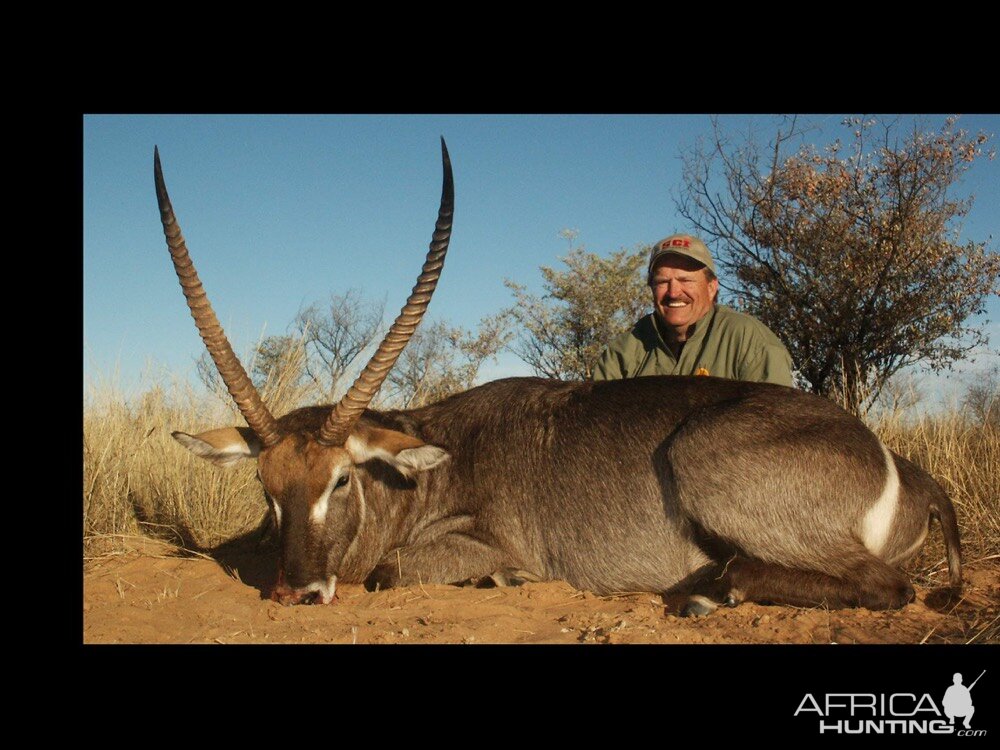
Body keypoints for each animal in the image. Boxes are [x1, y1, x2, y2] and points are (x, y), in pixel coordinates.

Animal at [156, 142, 960, 616]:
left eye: (341, 480)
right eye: (266, 487)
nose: (296, 592)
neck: (423, 471)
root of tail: (905, 471)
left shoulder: (483, 541)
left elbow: (392, 570)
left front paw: (503, 580)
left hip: (701, 455)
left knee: (885, 587)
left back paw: (710, 591)